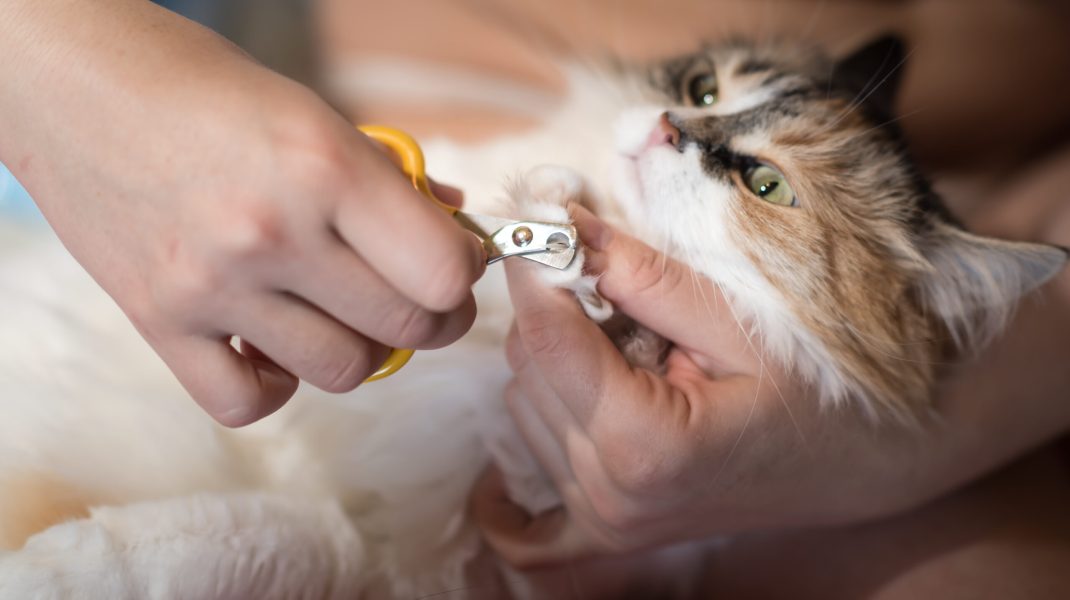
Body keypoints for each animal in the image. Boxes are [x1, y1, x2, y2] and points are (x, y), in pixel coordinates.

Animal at [0, 35, 1065, 594]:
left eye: (767, 184)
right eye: (703, 90)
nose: (667, 128)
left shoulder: (430, 551)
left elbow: (285, 538)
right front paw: (559, 203)